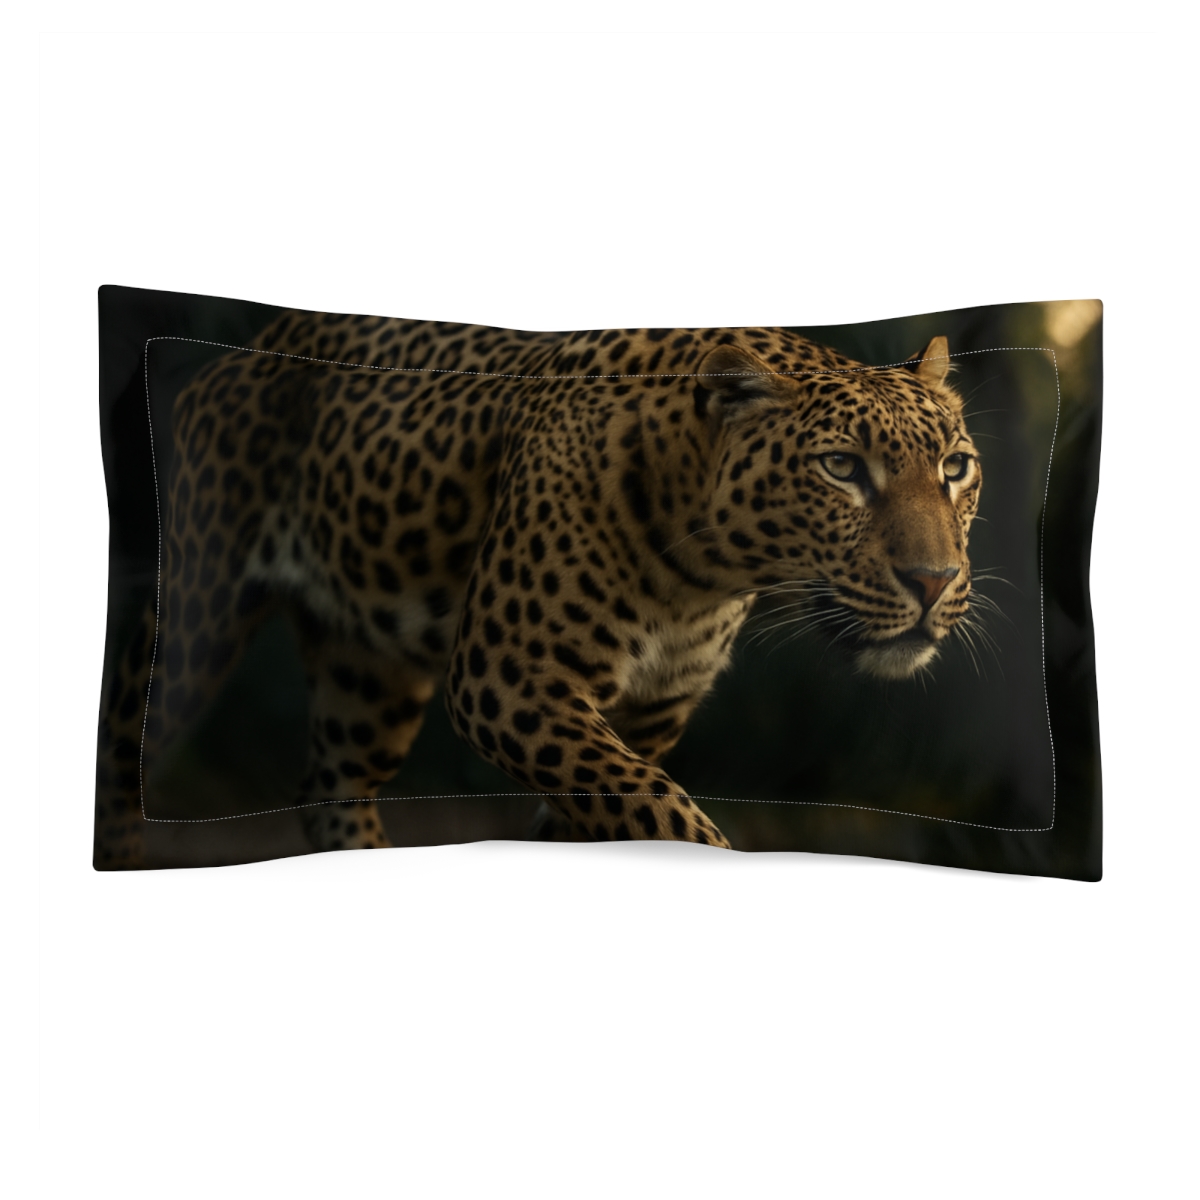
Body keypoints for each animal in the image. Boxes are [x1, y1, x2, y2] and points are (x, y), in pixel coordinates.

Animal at [94, 309, 981, 867]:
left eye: (955, 468)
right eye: (841, 468)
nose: (934, 582)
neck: (703, 574)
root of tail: (252, 345)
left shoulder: (647, 715)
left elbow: (621, 816)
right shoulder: (510, 680)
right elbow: (669, 815)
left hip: (369, 675)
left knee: (330, 784)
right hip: (197, 610)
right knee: (122, 750)